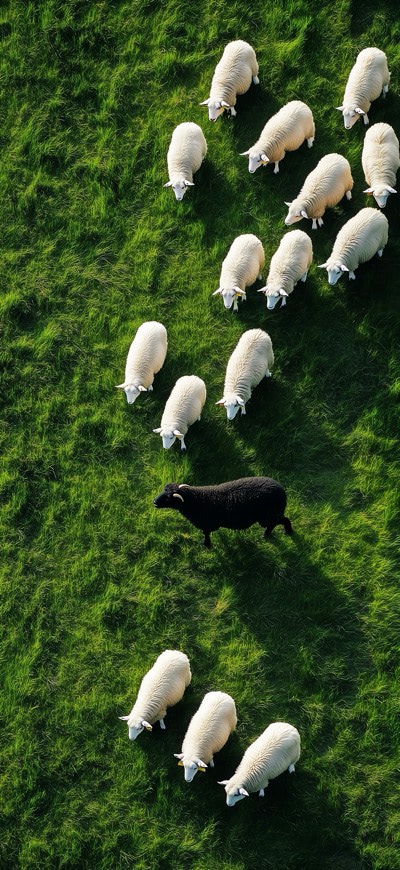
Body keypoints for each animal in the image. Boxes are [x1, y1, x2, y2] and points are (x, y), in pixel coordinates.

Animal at [153, 476, 292, 549]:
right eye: (164, 490)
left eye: (168, 498)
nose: (154, 502)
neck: (197, 501)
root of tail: (282, 491)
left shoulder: (206, 524)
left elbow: (206, 534)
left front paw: (206, 545)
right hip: (272, 513)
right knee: (281, 520)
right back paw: (286, 532)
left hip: (268, 515)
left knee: (277, 522)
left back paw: (271, 534)